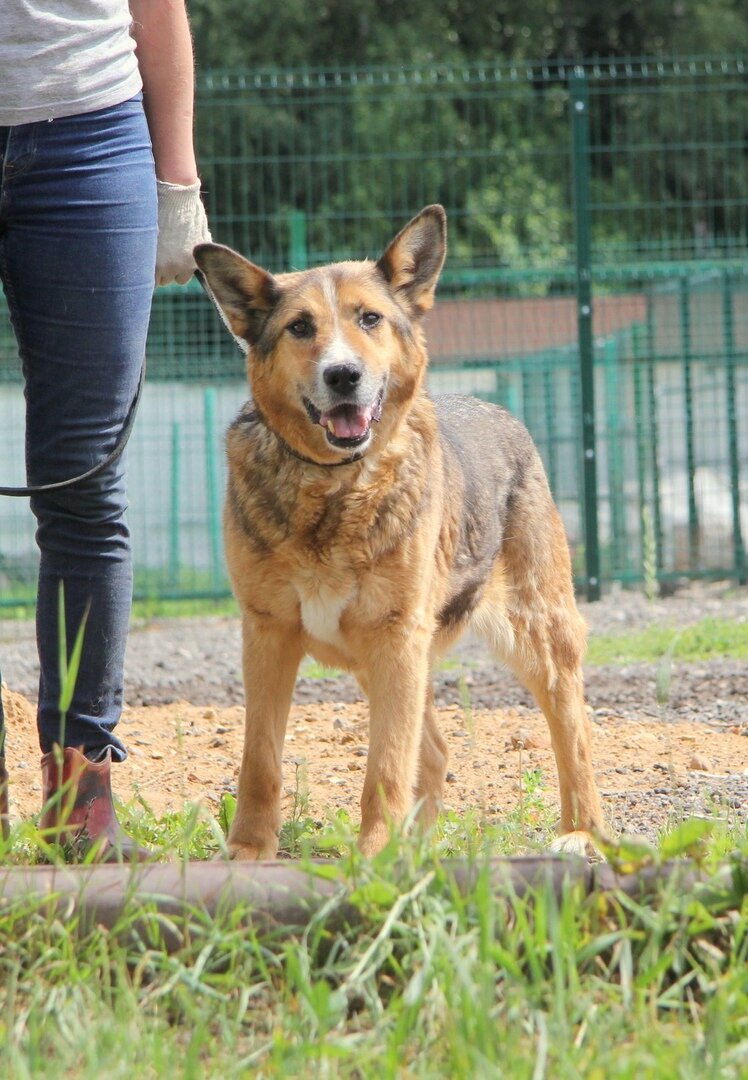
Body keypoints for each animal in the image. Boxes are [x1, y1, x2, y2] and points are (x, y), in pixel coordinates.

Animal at [195, 204, 604, 859]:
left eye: (370, 318)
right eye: (300, 327)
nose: (343, 375)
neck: (334, 487)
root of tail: (500, 410)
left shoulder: (394, 638)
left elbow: (384, 768)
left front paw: (372, 858)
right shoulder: (268, 633)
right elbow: (260, 760)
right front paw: (249, 853)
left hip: (534, 635)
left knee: (574, 732)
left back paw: (579, 832)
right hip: (386, 660)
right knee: (433, 751)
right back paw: (419, 848)